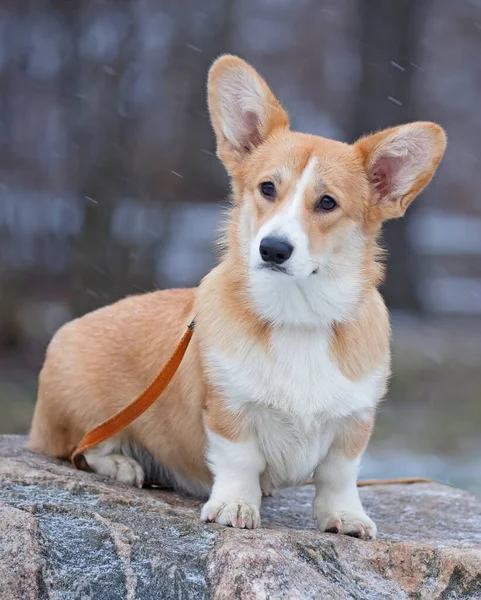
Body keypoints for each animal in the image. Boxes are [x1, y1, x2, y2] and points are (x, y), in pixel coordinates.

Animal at [28, 56, 444, 536]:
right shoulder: (229, 409)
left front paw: (345, 516)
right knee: (84, 447)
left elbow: (340, 473)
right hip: (87, 405)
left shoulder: (354, 420)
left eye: (327, 202)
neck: (296, 314)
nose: (273, 249)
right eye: (267, 188)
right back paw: (121, 465)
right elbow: (239, 460)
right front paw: (236, 505)